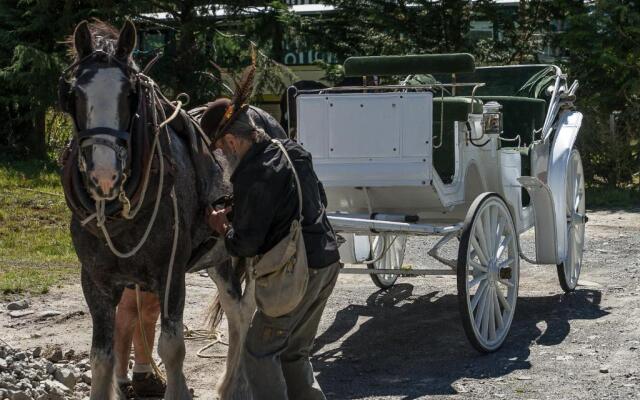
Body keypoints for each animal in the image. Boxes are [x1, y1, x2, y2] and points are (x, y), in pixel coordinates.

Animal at [58, 19, 252, 400]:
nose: (104, 174)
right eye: (74, 95)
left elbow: (172, 347)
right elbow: (101, 356)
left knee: (247, 313)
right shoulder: (96, 281)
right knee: (236, 311)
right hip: (219, 257)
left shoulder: (171, 273)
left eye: (130, 94)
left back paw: (237, 384)